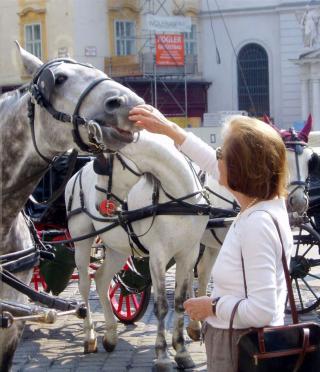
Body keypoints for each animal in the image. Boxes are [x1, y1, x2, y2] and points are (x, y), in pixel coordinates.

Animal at [66, 130, 209, 370]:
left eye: (104, 164)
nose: (98, 205)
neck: (179, 201)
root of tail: (76, 174)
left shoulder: (188, 254)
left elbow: (179, 303)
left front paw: (181, 352)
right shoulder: (158, 257)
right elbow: (162, 307)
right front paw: (162, 356)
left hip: (118, 248)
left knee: (102, 279)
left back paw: (110, 336)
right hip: (81, 241)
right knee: (84, 284)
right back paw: (90, 337)